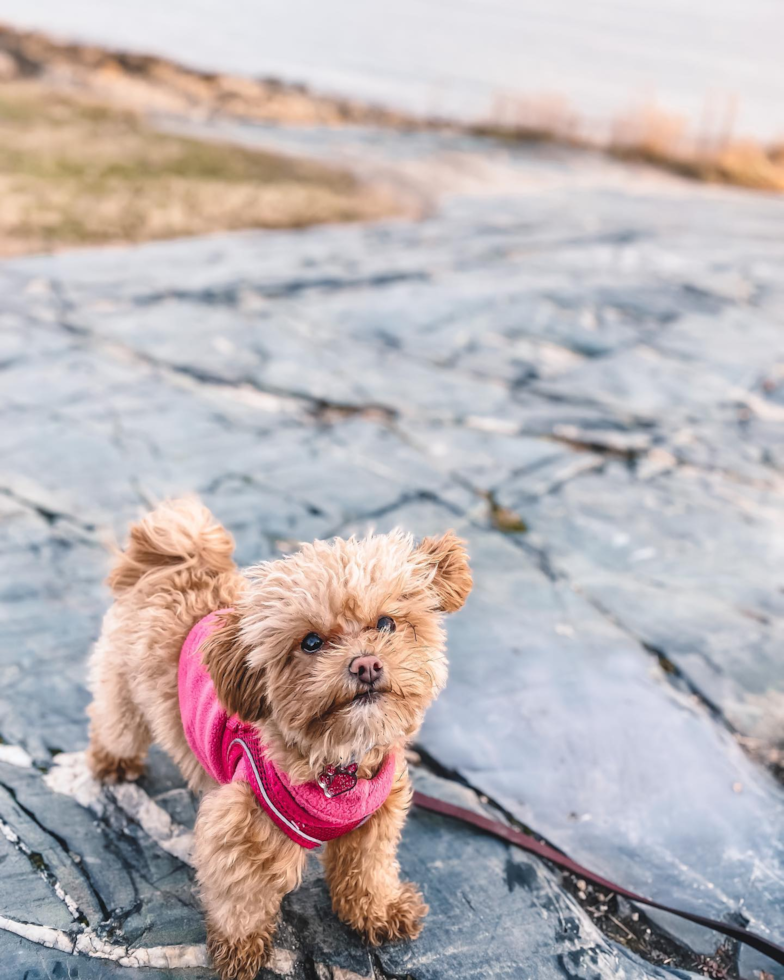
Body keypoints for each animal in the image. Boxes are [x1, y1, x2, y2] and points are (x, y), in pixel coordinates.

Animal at [84, 502, 472, 976]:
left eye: (385, 623)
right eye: (311, 642)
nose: (365, 665)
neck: (339, 763)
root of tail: (176, 562)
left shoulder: (375, 819)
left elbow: (370, 869)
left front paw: (378, 912)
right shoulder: (242, 825)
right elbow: (242, 898)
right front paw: (240, 951)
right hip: (122, 691)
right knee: (114, 724)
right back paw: (113, 763)